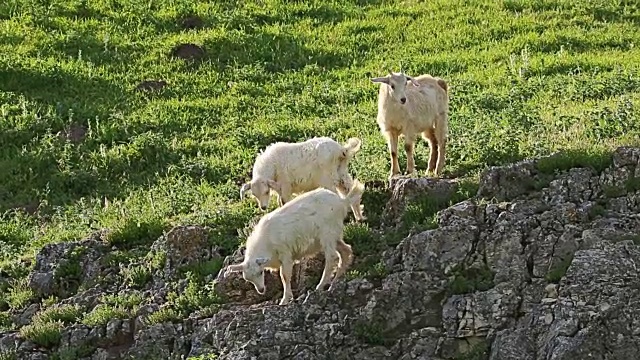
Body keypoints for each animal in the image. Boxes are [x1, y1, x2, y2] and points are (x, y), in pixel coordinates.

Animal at [222, 179, 362, 306]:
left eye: (260, 272)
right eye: (248, 279)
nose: (261, 290)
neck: (266, 241)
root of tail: (342, 202)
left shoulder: (285, 253)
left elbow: (284, 276)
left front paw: (285, 299)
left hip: (327, 234)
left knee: (331, 258)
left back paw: (321, 286)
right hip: (335, 235)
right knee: (346, 250)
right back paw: (334, 283)